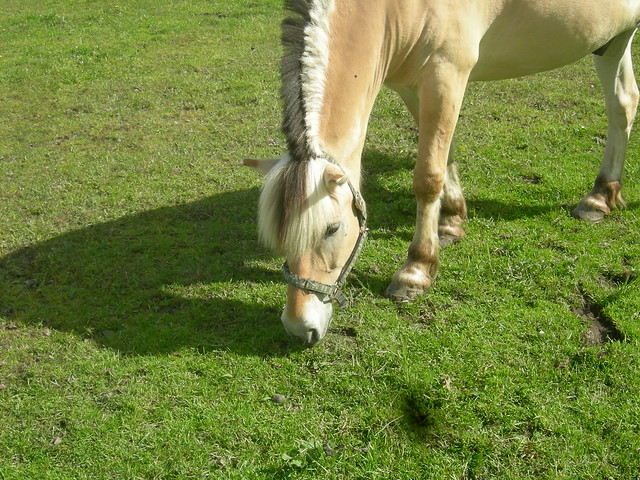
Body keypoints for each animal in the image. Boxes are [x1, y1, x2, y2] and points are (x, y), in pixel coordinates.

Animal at [245, 0, 640, 344]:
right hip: (614, 40)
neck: (390, 9)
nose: (299, 327)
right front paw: (450, 221)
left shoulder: (446, 74)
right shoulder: (413, 85)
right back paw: (600, 196)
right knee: (624, 103)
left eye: (332, 229)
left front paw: (416, 271)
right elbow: (443, 155)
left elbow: (427, 176)